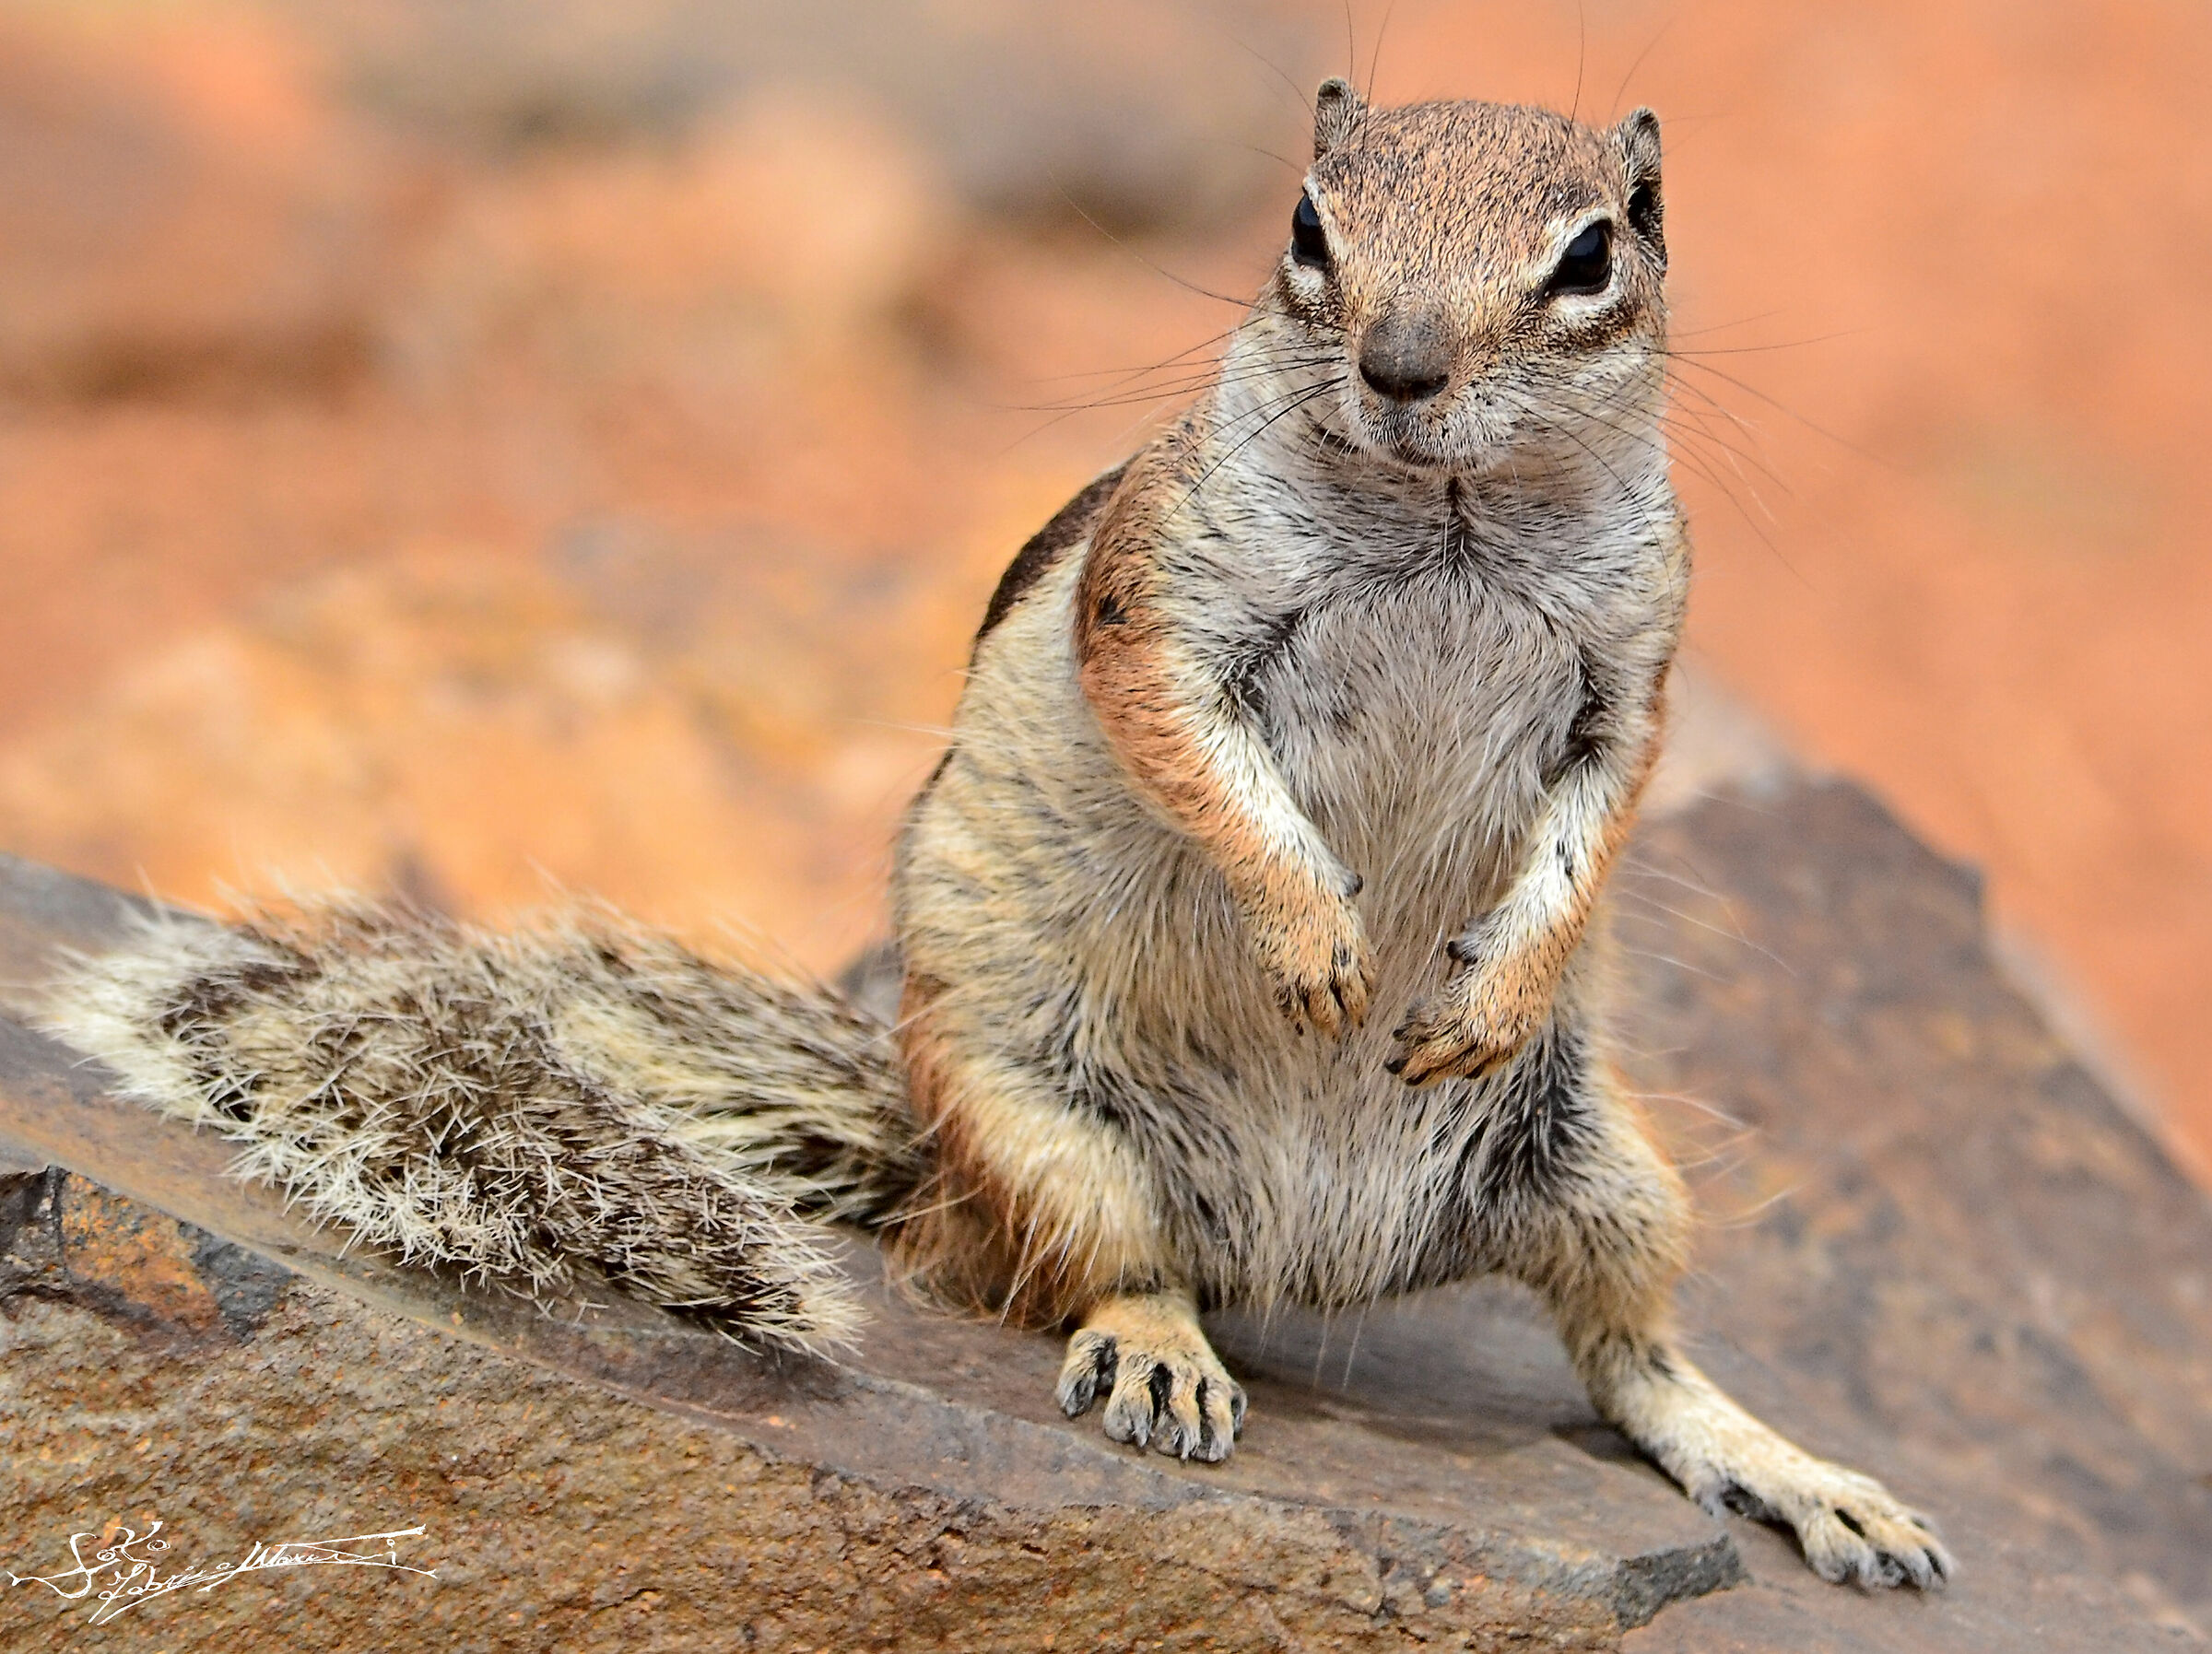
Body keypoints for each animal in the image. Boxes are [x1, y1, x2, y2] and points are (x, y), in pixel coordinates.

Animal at [44, 81, 1950, 1592]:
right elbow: (1198, 756)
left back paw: (1805, 1479)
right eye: (1306, 226)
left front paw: (1476, 986)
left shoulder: (1633, 667)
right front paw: (1317, 938)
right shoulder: (1157, 606)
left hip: (1604, 1168)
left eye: (1593, 254)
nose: (1401, 365)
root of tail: (1305, 1261)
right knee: (1104, 1275)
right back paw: (1167, 1354)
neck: (1444, 516)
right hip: (1048, 1133)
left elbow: (1595, 820)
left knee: (1631, 1360)